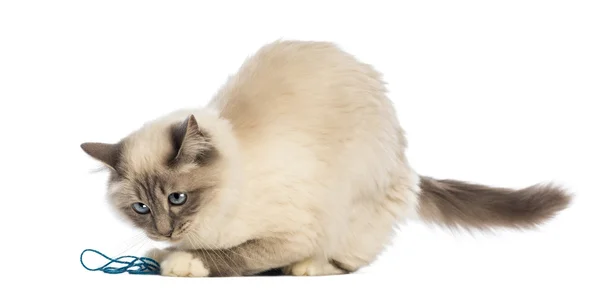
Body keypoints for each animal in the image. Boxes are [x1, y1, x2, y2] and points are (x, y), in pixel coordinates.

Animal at [79, 39, 572, 278]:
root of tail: (405, 162)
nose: (163, 230)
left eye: (178, 199)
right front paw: (163, 252)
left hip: (354, 207)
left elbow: (237, 254)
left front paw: (181, 261)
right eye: (141, 208)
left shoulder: (292, 230)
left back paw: (307, 268)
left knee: (352, 258)